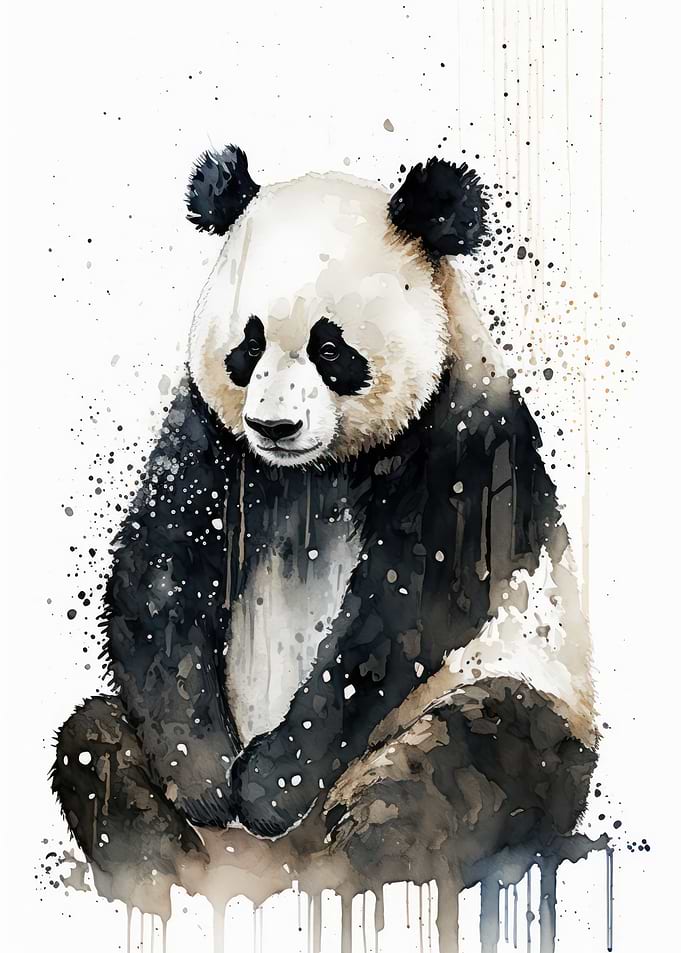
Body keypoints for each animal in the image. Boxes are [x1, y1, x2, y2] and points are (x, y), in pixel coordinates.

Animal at [52, 145, 599, 937]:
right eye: (247, 345)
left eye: (331, 347)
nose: (274, 426)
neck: (318, 471)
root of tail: (269, 866)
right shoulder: (212, 439)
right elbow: (161, 568)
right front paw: (207, 779)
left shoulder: (468, 437)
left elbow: (404, 611)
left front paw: (266, 785)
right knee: (94, 746)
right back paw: (159, 872)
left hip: (520, 699)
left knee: (450, 774)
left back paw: (346, 870)